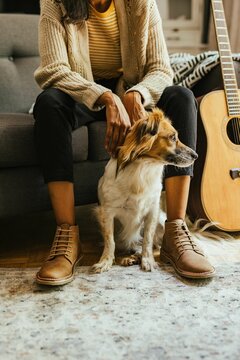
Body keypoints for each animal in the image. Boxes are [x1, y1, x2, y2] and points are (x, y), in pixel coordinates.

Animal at [91, 107, 198, 272]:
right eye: (172, 137)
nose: (196, 155)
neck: (143, 167)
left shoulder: (152, 211)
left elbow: (148, 239)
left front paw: (148, 261)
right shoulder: (107, 213)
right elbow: (110, 241)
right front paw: (105, 261)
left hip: (161, 221)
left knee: (150, 245)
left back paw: (136, 257)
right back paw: (128, 258)